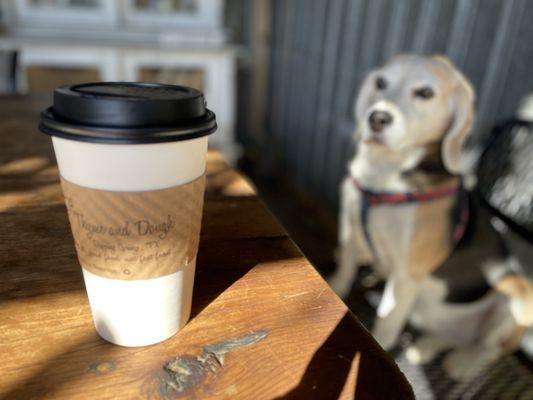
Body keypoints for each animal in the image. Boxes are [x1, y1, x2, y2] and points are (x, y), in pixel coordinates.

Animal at [328, 55, 532, 378]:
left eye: (425, 93)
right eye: (381, 82)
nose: (377, 118)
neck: (383, 178)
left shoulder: (406, 276)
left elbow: (386, 321)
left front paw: (379, 350)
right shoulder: (349, 228)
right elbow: (345, 268)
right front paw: (333, 288)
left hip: (517, 292)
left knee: (490, 348)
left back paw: (463, 363)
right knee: (453, 337)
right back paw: (427, 347)